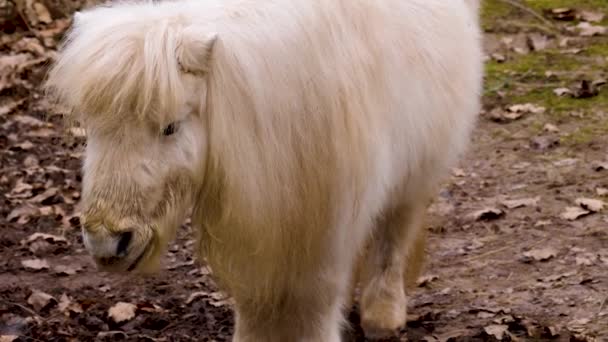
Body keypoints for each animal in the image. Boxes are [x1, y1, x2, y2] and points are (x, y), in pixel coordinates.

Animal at [45, 0, 482, 340]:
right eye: (92, 126)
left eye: (170, 126)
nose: (107, 244)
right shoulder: (259, 228)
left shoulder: (328, 227)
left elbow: (316, 304)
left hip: (417, 171)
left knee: (395, 233)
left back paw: (383, 316)